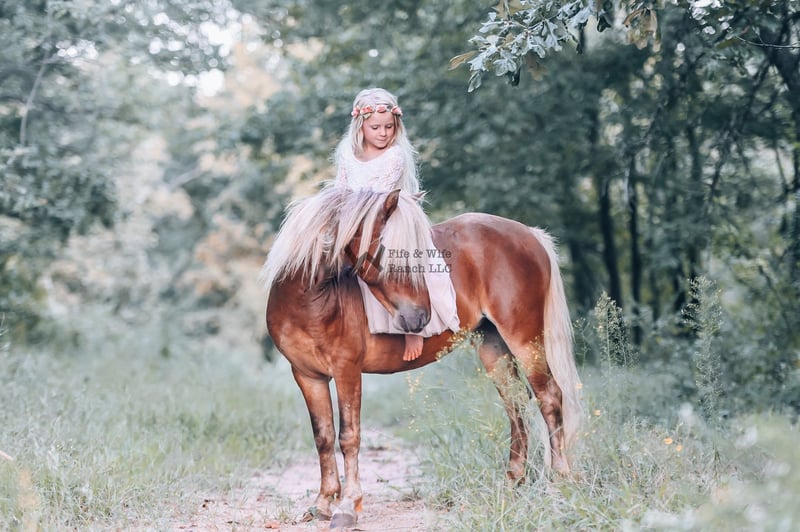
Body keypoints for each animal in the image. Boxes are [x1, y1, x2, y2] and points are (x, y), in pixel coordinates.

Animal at [260, 184, 583, 528]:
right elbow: (323, 436)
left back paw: (560, 481)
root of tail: (530, 234)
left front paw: (347, 505)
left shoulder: (347, 370)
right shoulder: (308, 376)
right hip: (492, 345)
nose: (420, 318)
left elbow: (349, 436)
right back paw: (512, 481)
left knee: (549, 398)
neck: (312, 297)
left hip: (525, 341)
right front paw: (322, 503)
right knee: (516, 403)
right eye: (390, 249)